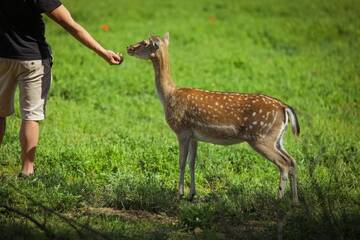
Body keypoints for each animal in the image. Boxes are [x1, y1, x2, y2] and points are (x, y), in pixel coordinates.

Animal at [126, 32, 300, 202]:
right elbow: (192, 162)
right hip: (277, 139)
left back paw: (278, 199)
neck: (169, 95)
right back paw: (295, 200)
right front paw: (192, 194)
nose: (129, 47)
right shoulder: (194, 135)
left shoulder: (182, 130)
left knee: (283, 163)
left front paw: (179, 194)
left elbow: (181, 162)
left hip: (261, 137)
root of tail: (285, 108)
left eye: (145, 42)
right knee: (292, 160)